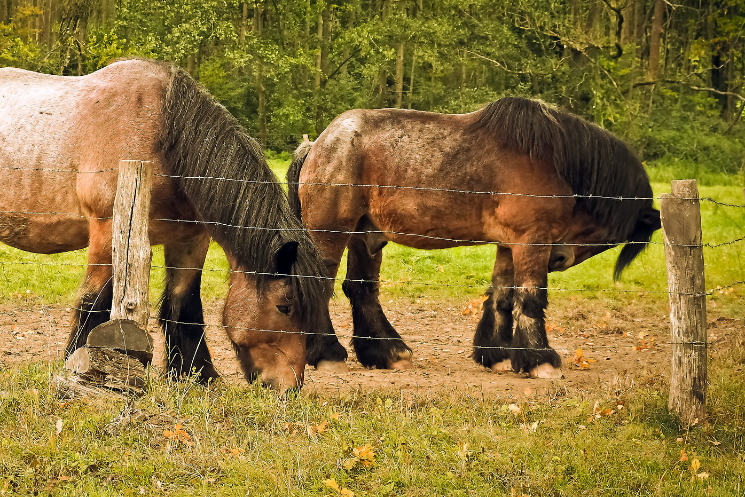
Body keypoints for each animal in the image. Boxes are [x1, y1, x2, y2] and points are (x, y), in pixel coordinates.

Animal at [0, 58, 328, 390]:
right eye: (284, 306)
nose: (289, 388)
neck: (164, 136)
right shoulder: (107, 232)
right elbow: (93, 302)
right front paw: (75, 364)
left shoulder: (189, 240)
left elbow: (184, 305)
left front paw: (195, 375)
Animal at [288, 96, 660, 376]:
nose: (558, 258)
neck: (553, 162)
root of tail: (317, 145)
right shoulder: (532, 241)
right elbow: (531, 297)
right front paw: (540, 359)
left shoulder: (510, 244)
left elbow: (503, 296)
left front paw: (497, 354)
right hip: (331, 232)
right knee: (318, 284)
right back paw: (328, 353)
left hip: (365, 234)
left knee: (361, 288)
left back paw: (386, 352)